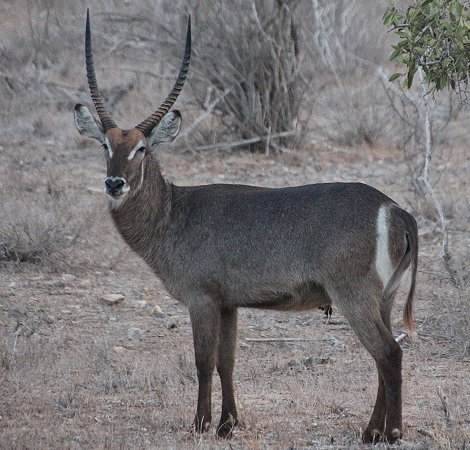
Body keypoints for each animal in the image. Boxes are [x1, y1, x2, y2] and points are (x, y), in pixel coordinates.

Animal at [74, 9, 418, 442]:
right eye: (105, 144)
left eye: (142, 148)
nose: (114, 183)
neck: (173, 213)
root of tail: (395, 209)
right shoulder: (228, 303)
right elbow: (227, 361)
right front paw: (227, 424)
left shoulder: (201, 297)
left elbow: (203, 361)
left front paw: (200, 424)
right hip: (383, 299)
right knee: (382, 357)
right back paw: (372, 431)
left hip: (354, 296)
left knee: (389, 353)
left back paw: (392, 432)